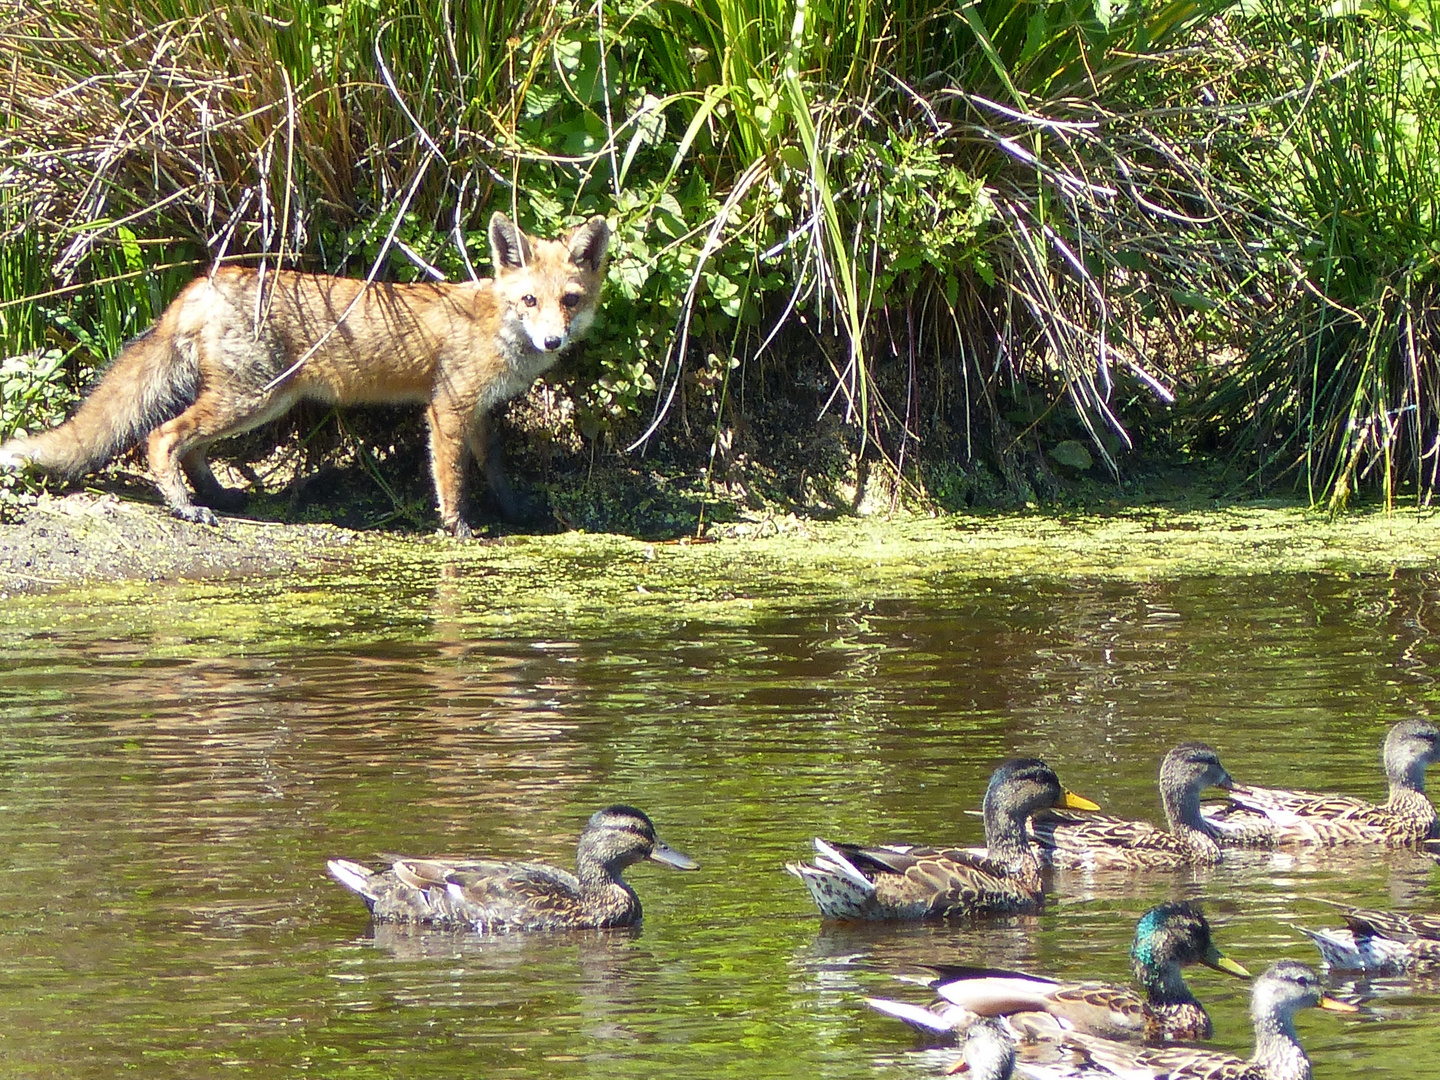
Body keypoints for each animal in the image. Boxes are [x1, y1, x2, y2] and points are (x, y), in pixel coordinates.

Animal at [0, 208, 607, 538]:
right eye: (529, 300)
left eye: (569, 301)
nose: (553, 340)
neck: (496, 326)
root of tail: (203, 283)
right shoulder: (447, 407)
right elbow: (451, 477)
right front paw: (457, 528)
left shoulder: (477, 412)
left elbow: (495, 469)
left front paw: (516, 512)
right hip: (256, 398)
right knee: (162, 436)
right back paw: (184, 506)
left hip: (254, 401)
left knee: (192, 446)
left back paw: (216, 496)